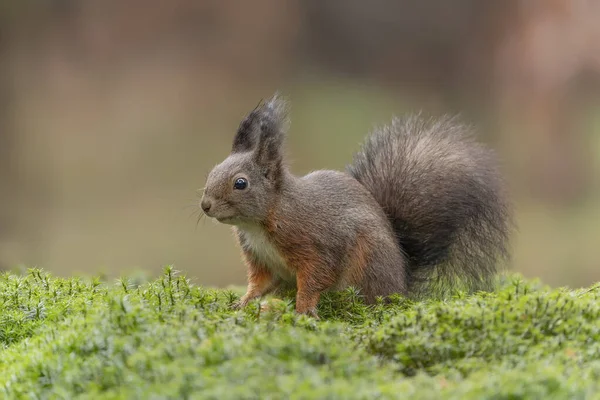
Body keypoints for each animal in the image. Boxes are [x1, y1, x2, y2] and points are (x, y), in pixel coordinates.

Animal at [200, 94, 510, 316]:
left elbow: (316, 277)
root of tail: (402, 282)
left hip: (368, 261)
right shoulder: (261, 259)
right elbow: (259, 284)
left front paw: (304, 309)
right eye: (212, 170)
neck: (262, 222)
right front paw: (241, 303)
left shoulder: (317, 244)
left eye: (240, 183)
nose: (205, 205)